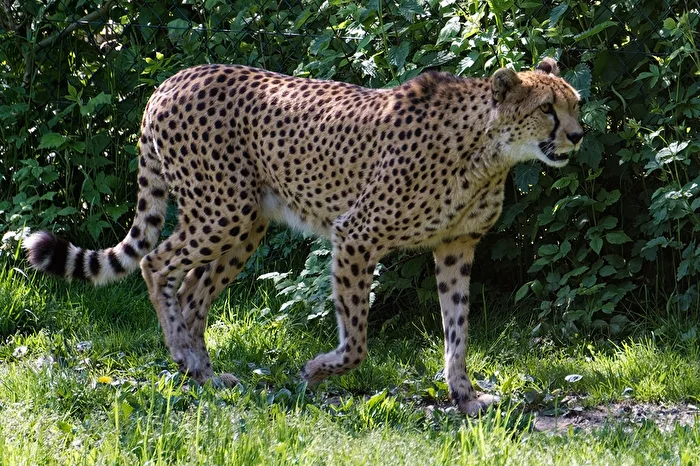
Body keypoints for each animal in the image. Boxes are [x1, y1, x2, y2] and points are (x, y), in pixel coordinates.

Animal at [24, 57, 583, 415]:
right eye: (546, 109)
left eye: (576, 104)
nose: (578, 136)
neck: (487, 153)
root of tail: (173, 78)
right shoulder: (355, 234)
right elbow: (356, 339)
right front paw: (316, 371)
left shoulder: (456, 247)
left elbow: (458, 330)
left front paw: (465, 397)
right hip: (221, 212)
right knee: (156, 264)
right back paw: (183, 358)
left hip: (246, 224)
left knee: (193, 290)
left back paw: (205, 375)